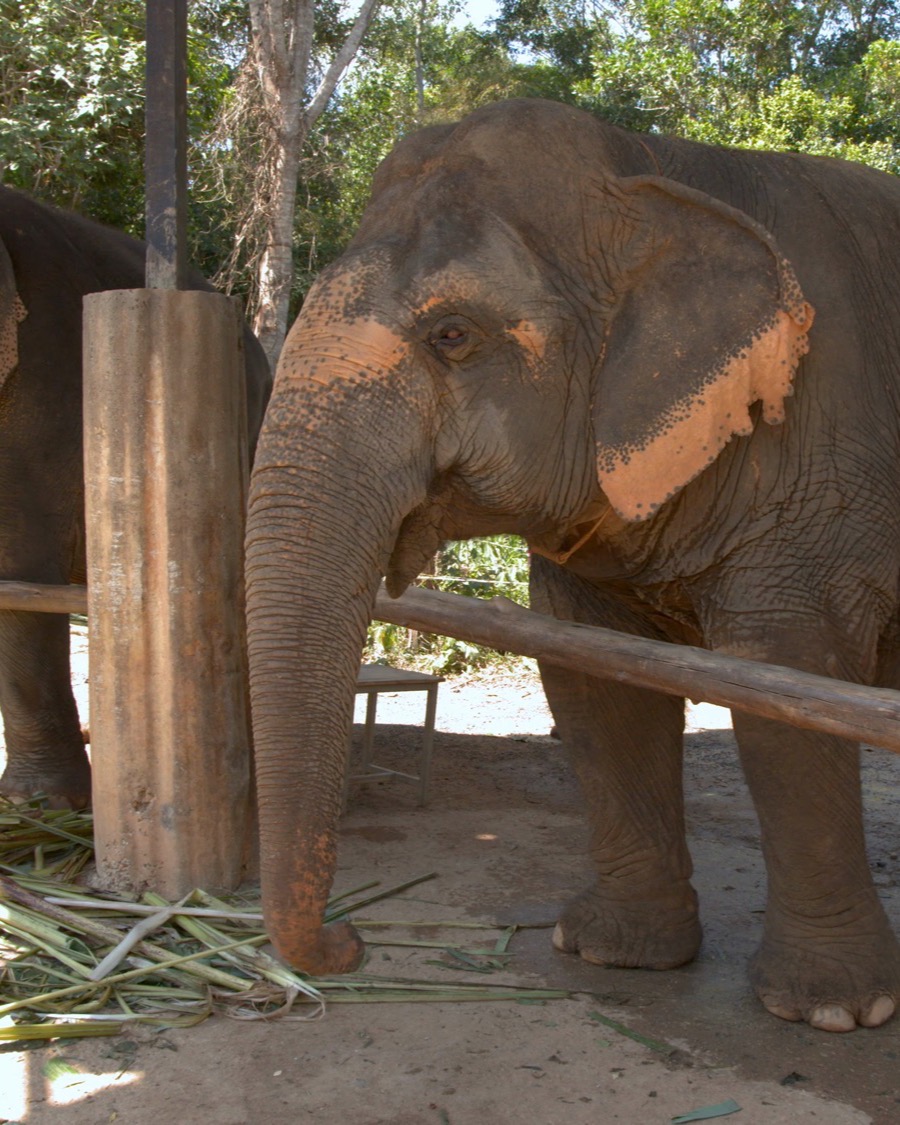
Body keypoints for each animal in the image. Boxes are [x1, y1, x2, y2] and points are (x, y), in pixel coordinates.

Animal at [244, 98, 900, 1032]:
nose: (348, 943)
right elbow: (593, 678)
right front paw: (609, 952)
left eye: (451, 334)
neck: (656, 166)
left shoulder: (827, 461)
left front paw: (833, 1012)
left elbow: (788, 682)